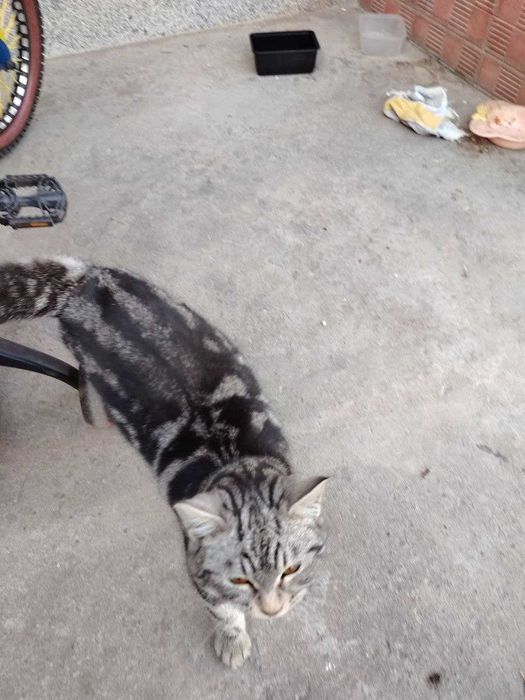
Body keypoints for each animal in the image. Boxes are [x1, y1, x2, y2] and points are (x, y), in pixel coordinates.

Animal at [0, 258, 328, 669]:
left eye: (290, 569)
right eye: (240, 580)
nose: (271, 610)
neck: (235, 460)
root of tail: (89, 276)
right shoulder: (198, 572)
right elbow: (224, 611)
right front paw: (233, 636)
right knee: (84, 386)